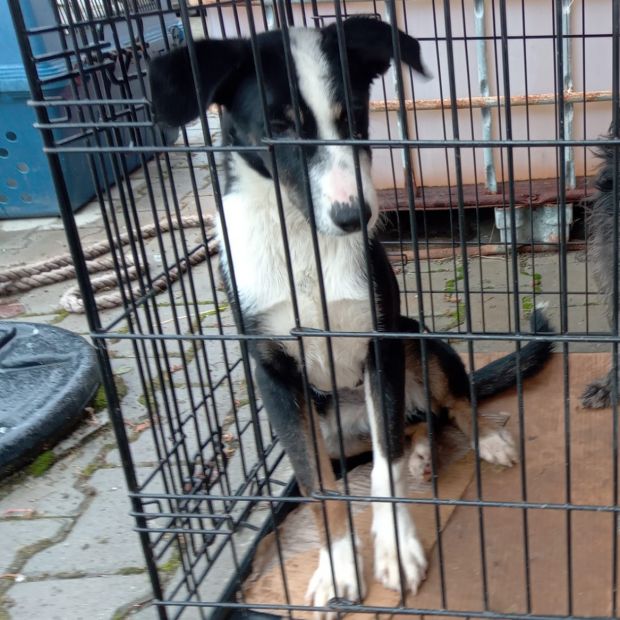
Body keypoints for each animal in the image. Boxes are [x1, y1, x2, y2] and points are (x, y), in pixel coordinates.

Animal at [149, 17, 553, 614]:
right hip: (333, 425)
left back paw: (478, 440)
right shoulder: (274, 376)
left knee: (441, 409)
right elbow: (318, 487)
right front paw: (338, 566)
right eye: (277, 127)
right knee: (405, 431)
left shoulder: (380, 342)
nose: (353, 216)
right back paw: (422, 455)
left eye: (356, 115)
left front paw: (396, 550)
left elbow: (385, 468)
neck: (303, 240)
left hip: (417, 340)